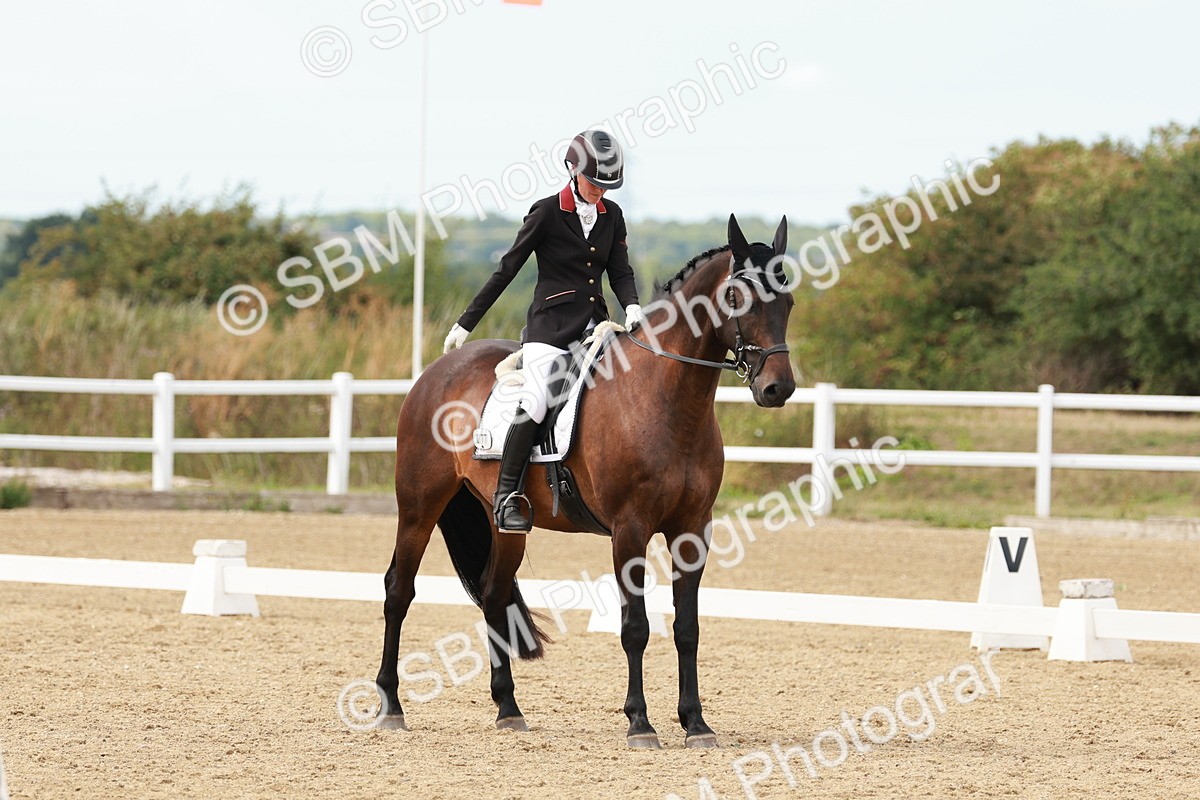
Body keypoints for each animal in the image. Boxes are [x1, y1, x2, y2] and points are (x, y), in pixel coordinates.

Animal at [376, 214, 797, 748]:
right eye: (740, 298)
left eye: (788, 301)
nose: (777, 389)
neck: (666, 398)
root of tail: (436, 371)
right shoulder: (630, 530)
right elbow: (635, 627)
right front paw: (640, 723)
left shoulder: (692, 530)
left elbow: (687, 629)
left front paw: (696, 724)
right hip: (418, 506)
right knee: (398, 591)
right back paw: (390, 705)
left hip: (504, 522)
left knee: (493, 594)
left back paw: (509, 710)